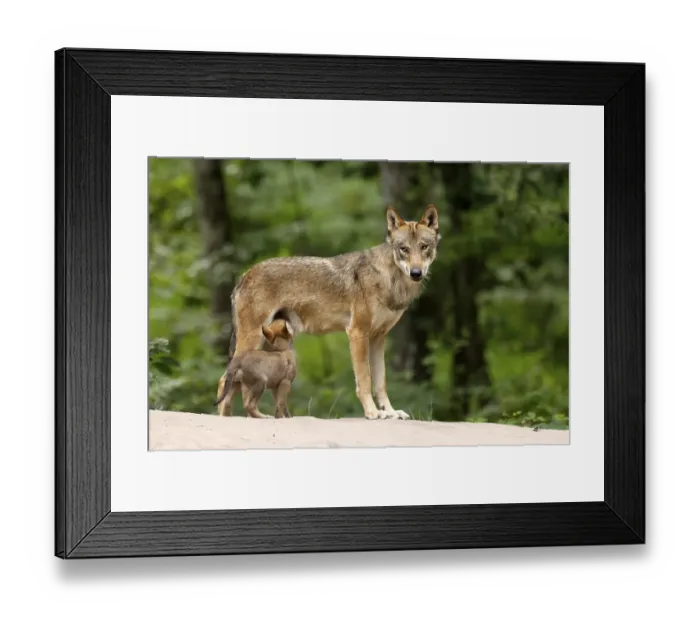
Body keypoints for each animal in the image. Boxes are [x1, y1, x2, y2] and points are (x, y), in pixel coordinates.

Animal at [216, 204, 441, 421]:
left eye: (424, 247)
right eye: (404, 249)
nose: (416, 273)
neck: (389, 279)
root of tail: (244, 275)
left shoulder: (378, 337)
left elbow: (380, 382)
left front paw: (391, 412)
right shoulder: (357, 333)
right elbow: (365, 380)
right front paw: (372, 412)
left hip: (266, 343)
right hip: (252, 340)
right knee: (224, 380)